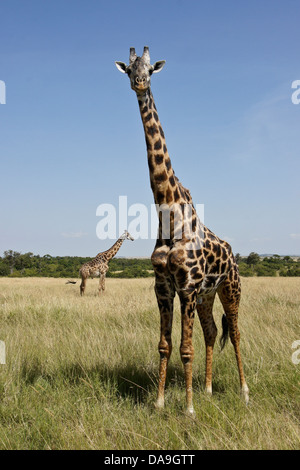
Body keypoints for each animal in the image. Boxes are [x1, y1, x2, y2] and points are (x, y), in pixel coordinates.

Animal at [116, 47, 250, 414]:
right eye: (128, 68)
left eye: (150, 68)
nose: (139, 82)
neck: (167, 210)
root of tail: (233, 255)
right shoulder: (164, 287)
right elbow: (165, 345)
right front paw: (160, 403)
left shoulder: (187, 287)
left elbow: (184, 348)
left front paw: (187, 410)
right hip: (207, 296)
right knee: (211, 332)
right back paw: (207, 389)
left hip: (230, 289)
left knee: (234, 333)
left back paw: (244, 391)